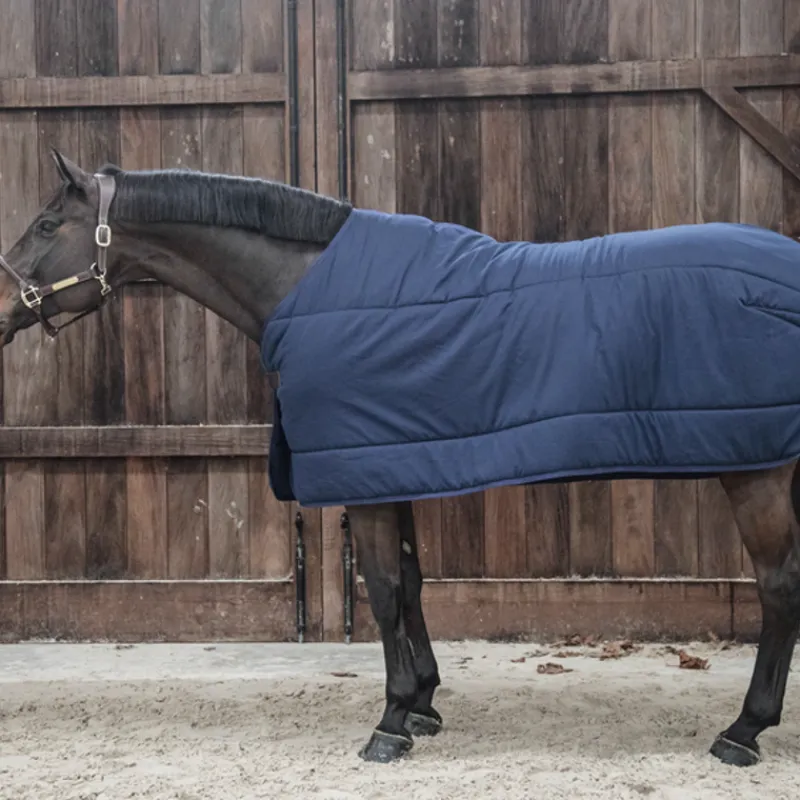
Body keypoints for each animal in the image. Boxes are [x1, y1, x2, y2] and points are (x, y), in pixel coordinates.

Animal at [1, 148, 800, 769]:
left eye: (46, 225)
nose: (1, 305)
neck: (306, 286)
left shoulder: (367, 480)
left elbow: (382, 591)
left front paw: (389, 724)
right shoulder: (396, 461)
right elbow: (412, 585)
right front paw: (423, 704)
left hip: (755, 474)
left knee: (778, 587)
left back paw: (743, 731)